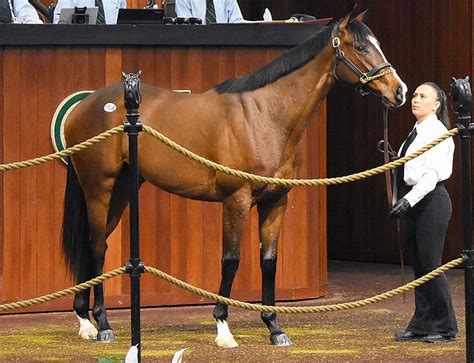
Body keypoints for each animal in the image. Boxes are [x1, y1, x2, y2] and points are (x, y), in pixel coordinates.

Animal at [60, 8, 408, 348]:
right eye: (360, 47)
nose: (399, 91)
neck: (264, 116)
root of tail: (82, 107)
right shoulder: (236, 199)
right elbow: (231, 260)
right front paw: (223, 328)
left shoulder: (276, 201)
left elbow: (269, 261)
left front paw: (274, 327)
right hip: (99, 189)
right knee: (95, 247)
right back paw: (102, 325)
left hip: (119, 192)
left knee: (94, 246)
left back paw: (85, 321)